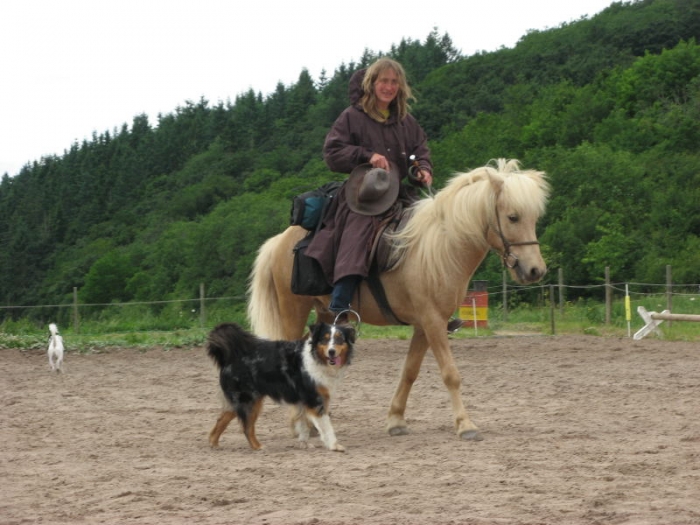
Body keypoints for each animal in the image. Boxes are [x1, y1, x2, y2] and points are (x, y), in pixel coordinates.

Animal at [205, 320, 352, 450]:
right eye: (324, 339)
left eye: (339, 339)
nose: (331, 351)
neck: (316, 357)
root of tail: (229, 358)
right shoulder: (314, 400)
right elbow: (326, 426)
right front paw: (334, 446)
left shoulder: (303, 402)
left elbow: (303, 425)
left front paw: (304, 443)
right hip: (249, 401)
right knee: (247, 428)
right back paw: (258, 447)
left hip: (237, 402)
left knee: (221, 420)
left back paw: (214, 443)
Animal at [249, 158, 548, 440]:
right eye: (512, 217)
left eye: (534, 218)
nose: (535, 270)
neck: (441, 247)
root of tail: (280, 240)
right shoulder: (432, 322)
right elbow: (450, 374)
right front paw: (466, 425)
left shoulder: (425, 326)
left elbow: (410, 371)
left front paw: (396, 420)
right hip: (294, 311)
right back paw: (298, 424)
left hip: (324, 315)